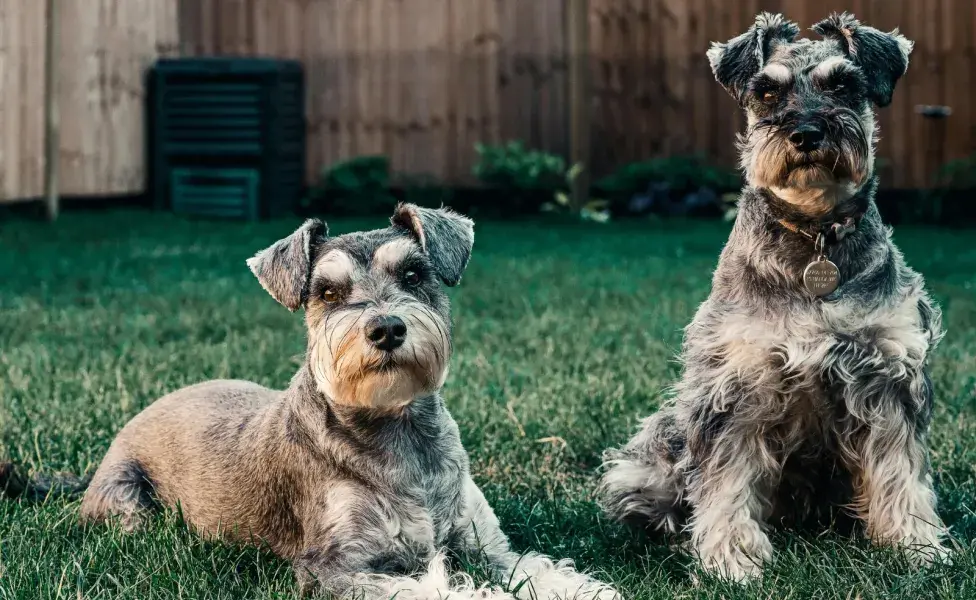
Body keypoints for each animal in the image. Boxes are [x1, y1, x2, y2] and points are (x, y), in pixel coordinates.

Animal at [3, 204, 616, 596]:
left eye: (414, 273)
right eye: (326, 292)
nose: (386, 329)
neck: (400, 435)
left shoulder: (488, 546)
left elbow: (540, 569)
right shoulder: (335, 568)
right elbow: (433, 589)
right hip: (131, 510)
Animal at [600, 10, 948, 580]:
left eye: (843, 85)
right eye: (766, 92)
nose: (806, 133)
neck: (814, 236)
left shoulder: (887, 376)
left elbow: (901, 472)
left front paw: (916, 545)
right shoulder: (736, 384)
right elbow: (726, 481)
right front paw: (731, 558)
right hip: (654, 455)